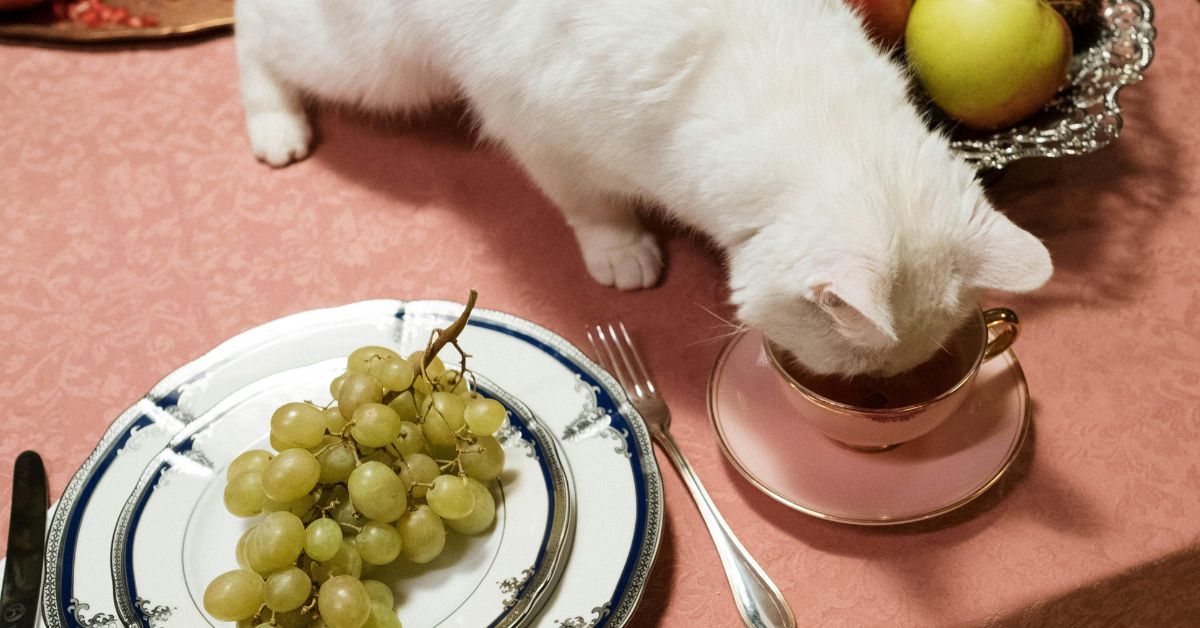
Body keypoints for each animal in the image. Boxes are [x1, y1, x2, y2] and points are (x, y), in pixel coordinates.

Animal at [231, 0, 1051, 379]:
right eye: (856, 368)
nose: (872, 392)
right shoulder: (538, 130)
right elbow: (589, 206)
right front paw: (620, 251)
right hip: (376, 64)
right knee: (254, 31)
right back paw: (276, 125)